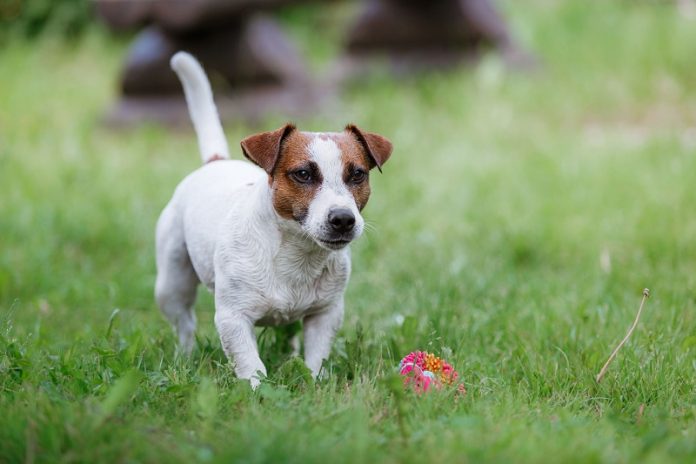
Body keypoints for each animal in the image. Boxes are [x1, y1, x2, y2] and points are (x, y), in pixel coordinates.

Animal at [155, 52, 392, 388]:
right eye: (303, 174)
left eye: (357, 174)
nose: (343, 219)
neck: (295, 253)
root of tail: (216, 162)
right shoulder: (233, 318)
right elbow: (250, 364)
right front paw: (257, 392)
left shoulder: (325, 314)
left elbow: (316, 358)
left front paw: (313, 384)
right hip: (172, 282)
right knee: (184, 323)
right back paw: (185, 357)